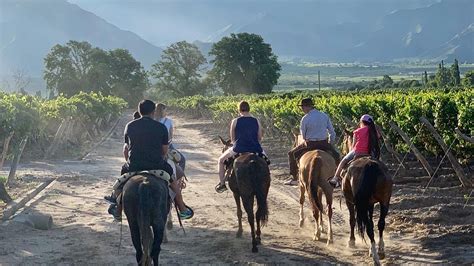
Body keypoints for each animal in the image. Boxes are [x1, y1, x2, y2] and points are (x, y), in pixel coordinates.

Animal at [340, 130, 392, 264]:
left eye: (345, 140)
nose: (343, 150)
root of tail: (370, 165)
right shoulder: (371, 203)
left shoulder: (350, 201)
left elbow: (352, 220)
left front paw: (351, 241)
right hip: (385, 201)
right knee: (380, 223)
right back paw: (380, 251)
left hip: (361, 204)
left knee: (368, 227)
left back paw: (375, 256)